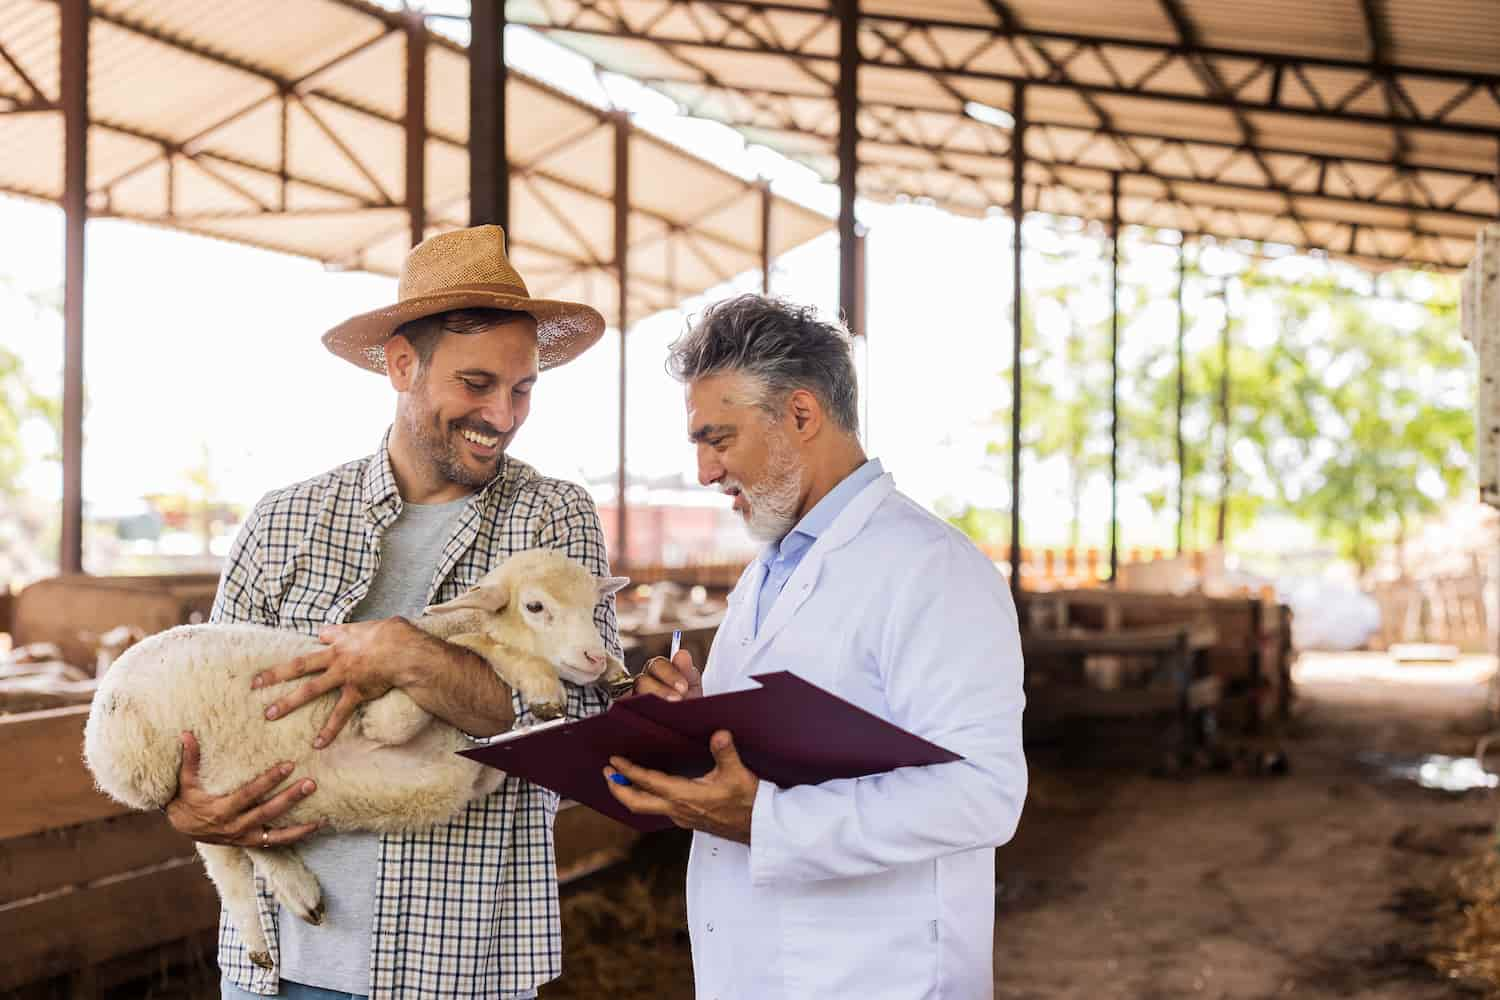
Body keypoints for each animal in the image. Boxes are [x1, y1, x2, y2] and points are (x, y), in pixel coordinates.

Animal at [79, 548, 630, 971]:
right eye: (536, 606)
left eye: (594, 608)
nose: (592, 656)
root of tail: (103, 693)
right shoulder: (383, 719)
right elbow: (474, 644)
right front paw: (541, 684)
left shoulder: (480, 770)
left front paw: (614, 672)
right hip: (155, 770)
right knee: (222, 847)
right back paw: (289, 897)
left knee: (234, 846)